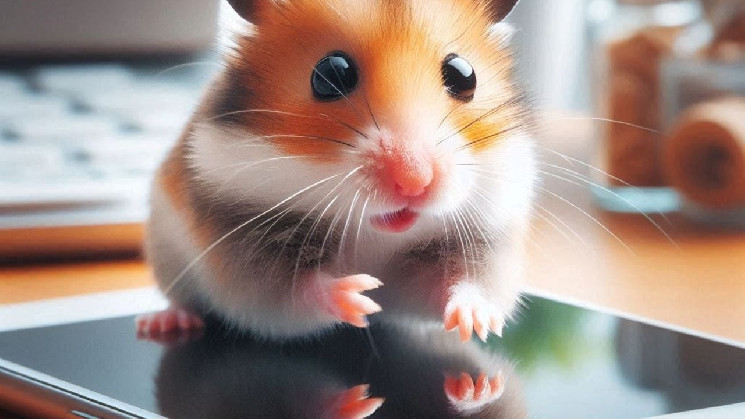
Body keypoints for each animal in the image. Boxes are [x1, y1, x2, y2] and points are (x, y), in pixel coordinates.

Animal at [138, 0, 536, 343]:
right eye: (331, 73)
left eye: (464, 75)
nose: (414, 181)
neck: (373, 235)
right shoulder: (245, 249)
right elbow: (296, 289)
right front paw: (359, 295)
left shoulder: (477, 243)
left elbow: (463, 282)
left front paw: (478, 323)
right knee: (181, 301)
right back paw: (163, 323)